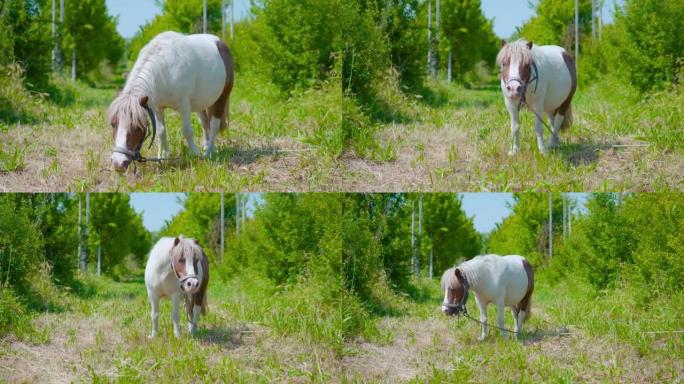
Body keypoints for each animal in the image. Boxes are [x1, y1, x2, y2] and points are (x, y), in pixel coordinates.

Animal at [107, 30, 235, 172]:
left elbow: (187, 131)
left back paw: (209, 152)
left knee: (214, 124)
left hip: (221, 98)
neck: (164, 69)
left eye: (136, 127)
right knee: (204, 123)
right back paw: (206, 146)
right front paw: (162, 158)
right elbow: (161, 132)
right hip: (200, 104)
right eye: (113, 124)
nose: (118, 163)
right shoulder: (157, 107)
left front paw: (196, 155)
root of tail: (220, 42)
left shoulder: (184, 105)